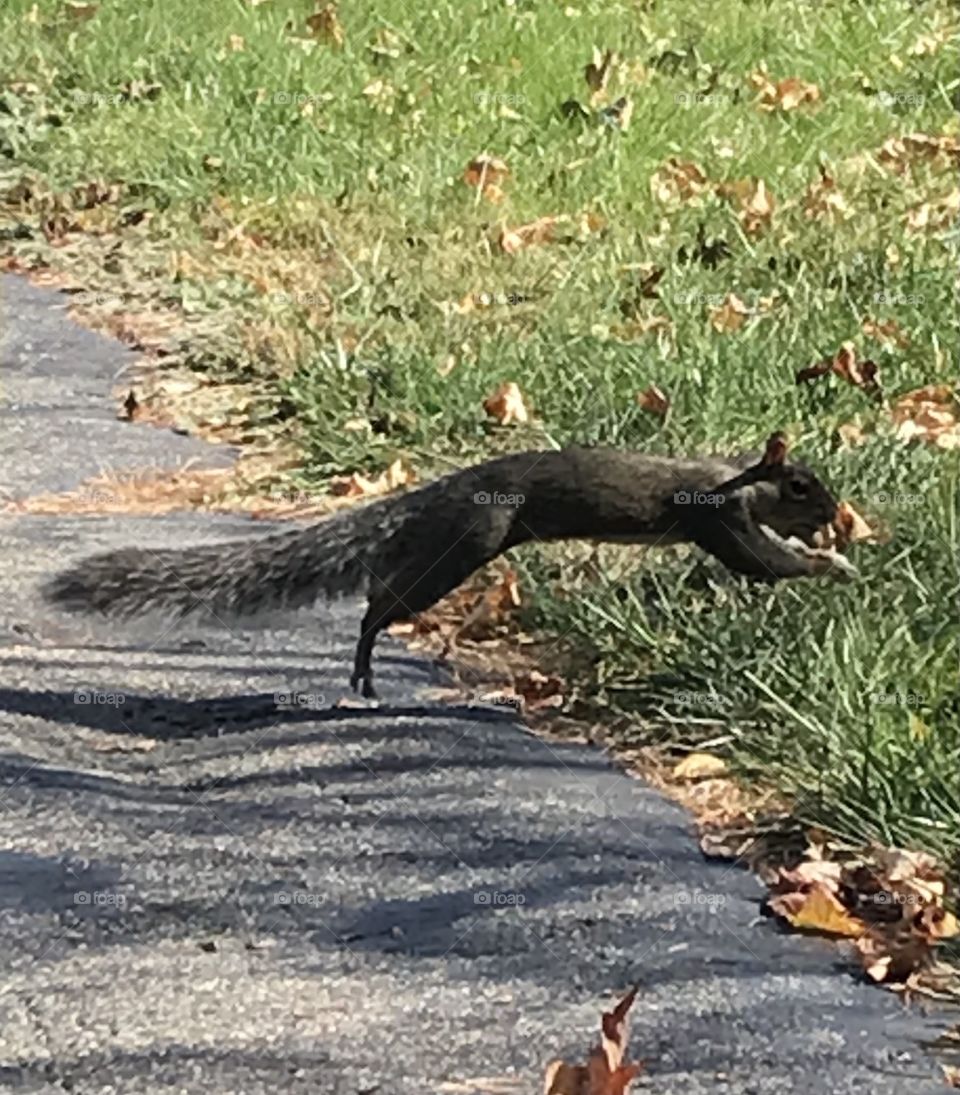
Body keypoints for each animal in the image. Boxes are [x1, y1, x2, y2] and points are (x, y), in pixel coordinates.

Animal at [42, 432, 856, 699]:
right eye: (801, 486)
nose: (837, 514)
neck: (730, 476)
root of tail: (441, 491)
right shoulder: (717, 518)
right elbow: (763, 564)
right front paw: (832, 565)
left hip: (445, 545)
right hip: (467, 542)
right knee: (381, 603)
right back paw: (366, 659)